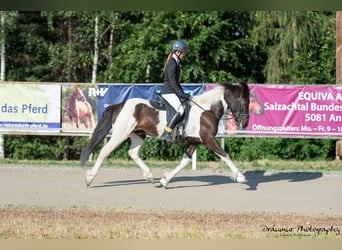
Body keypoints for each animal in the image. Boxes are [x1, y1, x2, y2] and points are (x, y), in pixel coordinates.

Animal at [81, 81, 250, 188]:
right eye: (244, 101)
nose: (245, 123)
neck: (206, 110)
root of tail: (119, 104)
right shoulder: (208, 139)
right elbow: (224, 154)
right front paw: (240, 176)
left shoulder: (194, 141)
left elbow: (184, 162)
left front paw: (165, 180)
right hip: (120, 133)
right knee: (105, 151)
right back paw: (89, 179)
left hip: (138, 134)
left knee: (132, 153)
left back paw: (149, 176)